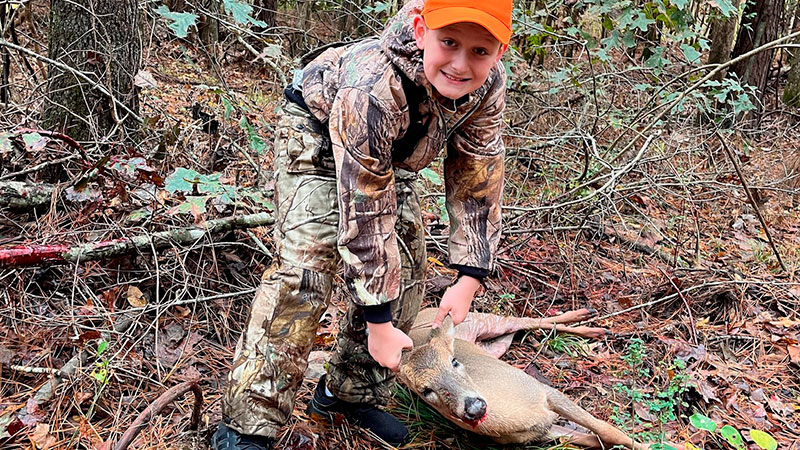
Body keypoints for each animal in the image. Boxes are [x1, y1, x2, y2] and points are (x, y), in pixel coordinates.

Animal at [397, 307, 658, 449]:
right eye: (425, 390)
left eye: (453, 361)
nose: (474, 407)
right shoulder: (541, 430)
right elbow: (596, 439)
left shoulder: (544, 389)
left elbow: (608, 430)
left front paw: (656, 445)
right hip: (495, 346)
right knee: (523, 328)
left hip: (482, 319)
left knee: (527, 321)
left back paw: (591, 323)